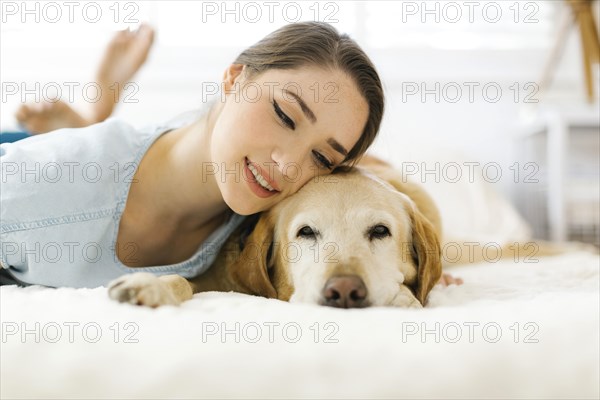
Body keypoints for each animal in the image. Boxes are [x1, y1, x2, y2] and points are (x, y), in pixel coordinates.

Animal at [109, 156, 440, 310]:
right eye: (306, 232)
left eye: (380, 230)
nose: (345, 291)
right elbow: (182, 280)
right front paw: (150, 285)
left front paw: (402, 298)